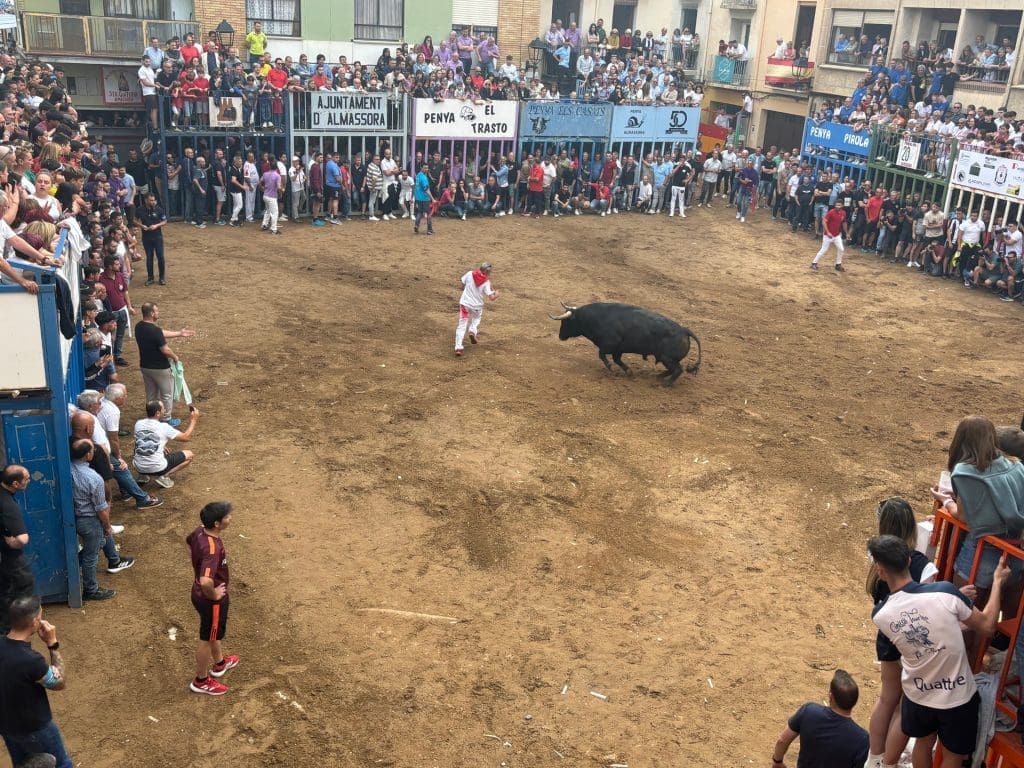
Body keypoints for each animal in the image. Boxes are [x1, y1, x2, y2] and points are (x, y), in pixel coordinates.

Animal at [549, 302, 701, 386]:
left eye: (565, 322)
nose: (560, 336)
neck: (595, 318)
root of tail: (684, 330)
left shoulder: (610, 344)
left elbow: (602, 355)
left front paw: (610, 367)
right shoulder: (618, 349)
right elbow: (617, 360)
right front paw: (628, 371)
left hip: (667, 358)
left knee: (678, 370)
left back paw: (666, 383)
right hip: (666, 358)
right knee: (673, 369)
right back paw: (659, 376)